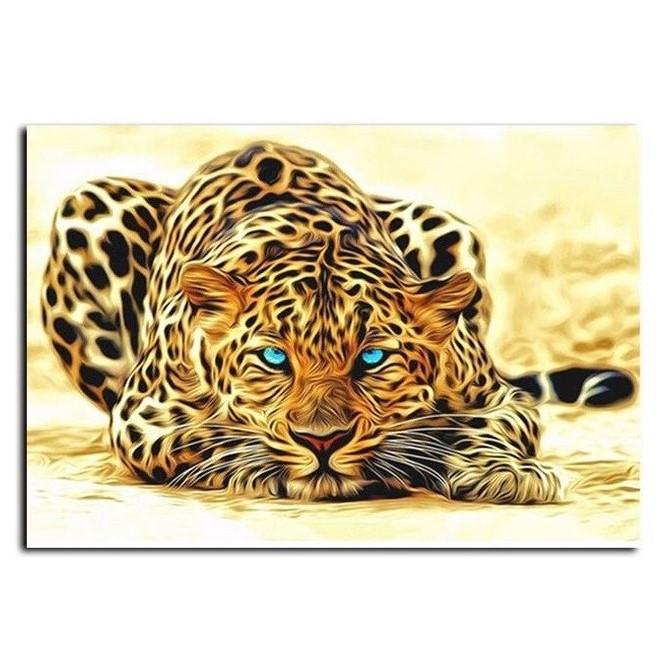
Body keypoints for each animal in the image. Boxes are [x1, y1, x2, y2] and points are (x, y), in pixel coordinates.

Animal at [40, 140, 635, 503]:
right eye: (273, 358)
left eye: (372, 358)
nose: (322, 442)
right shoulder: (142, 416)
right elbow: (209, 437)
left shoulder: (499, 397)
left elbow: (476, 426)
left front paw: (502, 471)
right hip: (87, 204)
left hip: (446, 225)